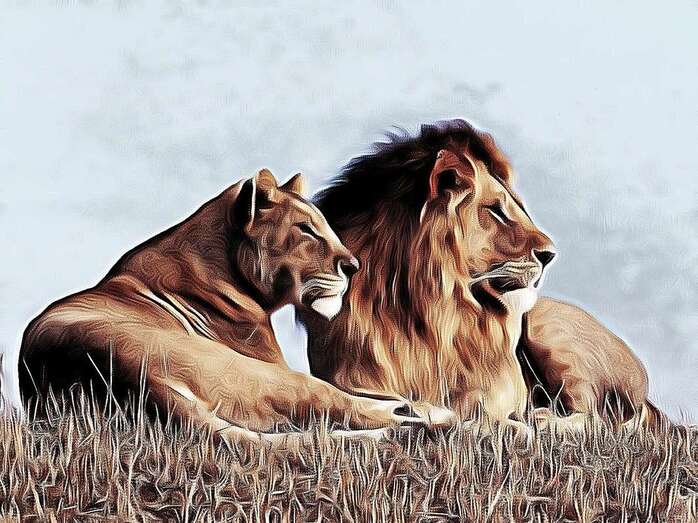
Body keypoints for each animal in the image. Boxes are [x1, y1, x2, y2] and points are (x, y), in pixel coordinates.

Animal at [19, 169, 449, 444]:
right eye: (305, 229)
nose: (354, 265)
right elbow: (349, 394)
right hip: (259, 375)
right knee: (331, 405)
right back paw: (429, 419)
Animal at [302, 120, 658, 428]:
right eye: (496, 211)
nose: (549, 255)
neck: (427, 310)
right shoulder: (347, 378)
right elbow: (363, 399)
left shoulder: (503, 381)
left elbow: (482, 402)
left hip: (550, 330)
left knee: (599, 419)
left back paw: (543, 420)